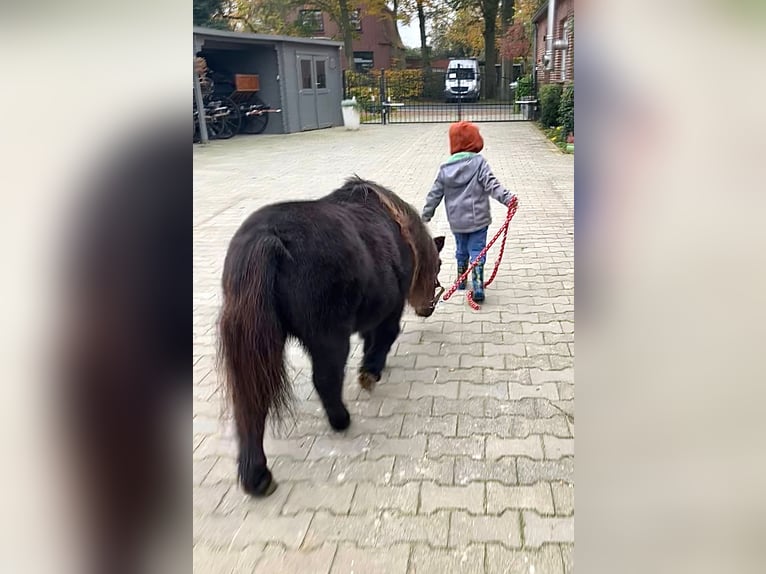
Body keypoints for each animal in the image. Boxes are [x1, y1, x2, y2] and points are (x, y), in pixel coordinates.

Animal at [218, 178, 444, 498]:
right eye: (438, 265)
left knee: (251, 401)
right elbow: (383, 339)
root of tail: (267, 238)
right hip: (329, 338)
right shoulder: (389, 311)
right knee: (325, 380)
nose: (429, 307)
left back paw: (256, 476)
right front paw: (371, 372)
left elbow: (371, 340)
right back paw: (341, 420)